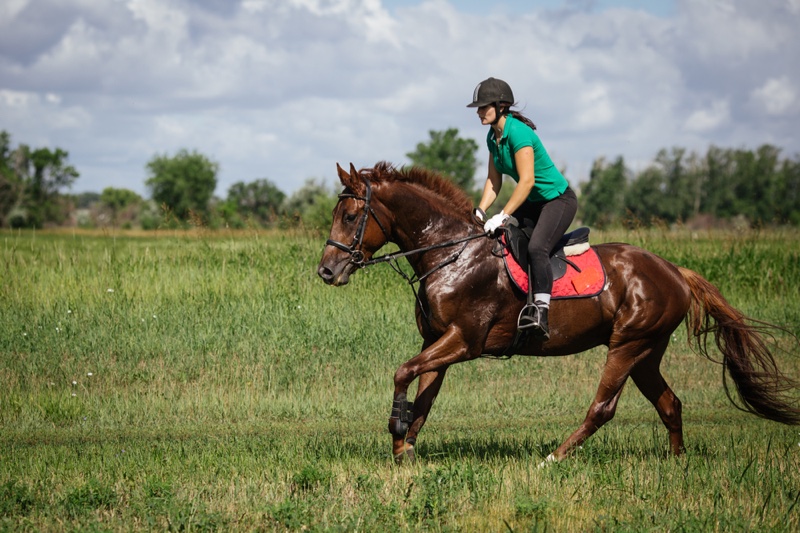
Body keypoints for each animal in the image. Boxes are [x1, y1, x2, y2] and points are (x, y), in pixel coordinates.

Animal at [316, 160, 796, 464]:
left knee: (602, 409)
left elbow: (402, 373)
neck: (451, 254)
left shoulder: (463, 341)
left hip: (627, 345)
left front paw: (397, 431)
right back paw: (677, 463)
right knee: (669, 403)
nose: (326, 270)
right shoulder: (436, 341)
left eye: (351, 215)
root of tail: (674, 270)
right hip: (647, 351)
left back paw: (555, 457)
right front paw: (405, 448)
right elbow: (425, 397)